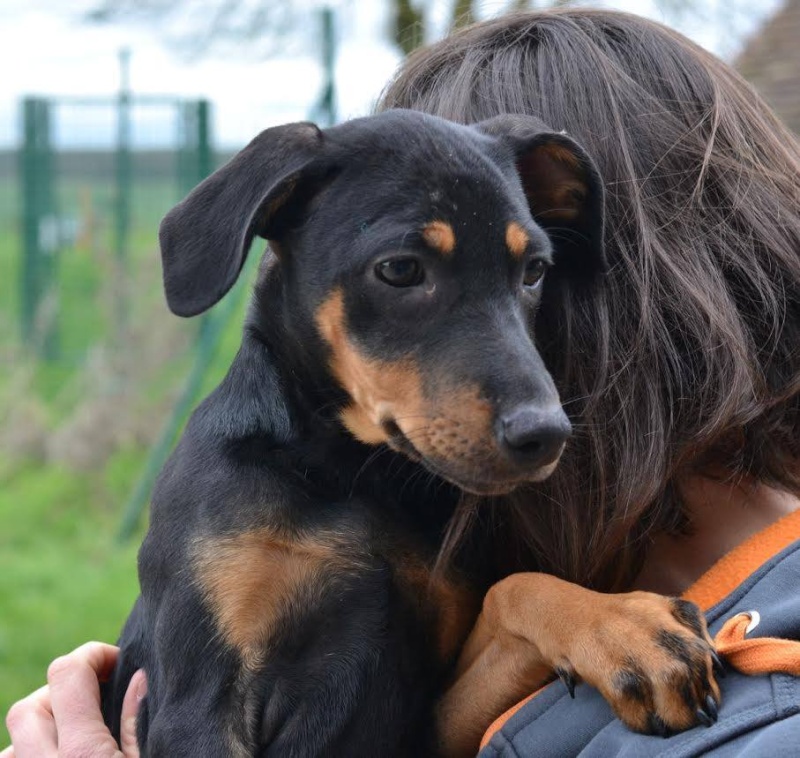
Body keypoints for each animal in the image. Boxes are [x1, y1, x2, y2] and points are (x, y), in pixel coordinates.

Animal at [100, 110, 720, 756]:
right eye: (399, 269)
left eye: (534, 271)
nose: (546, 435)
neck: (349, 475)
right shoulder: (199, 701)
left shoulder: (419, 717)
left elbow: (512, 589)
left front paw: (626, 625)